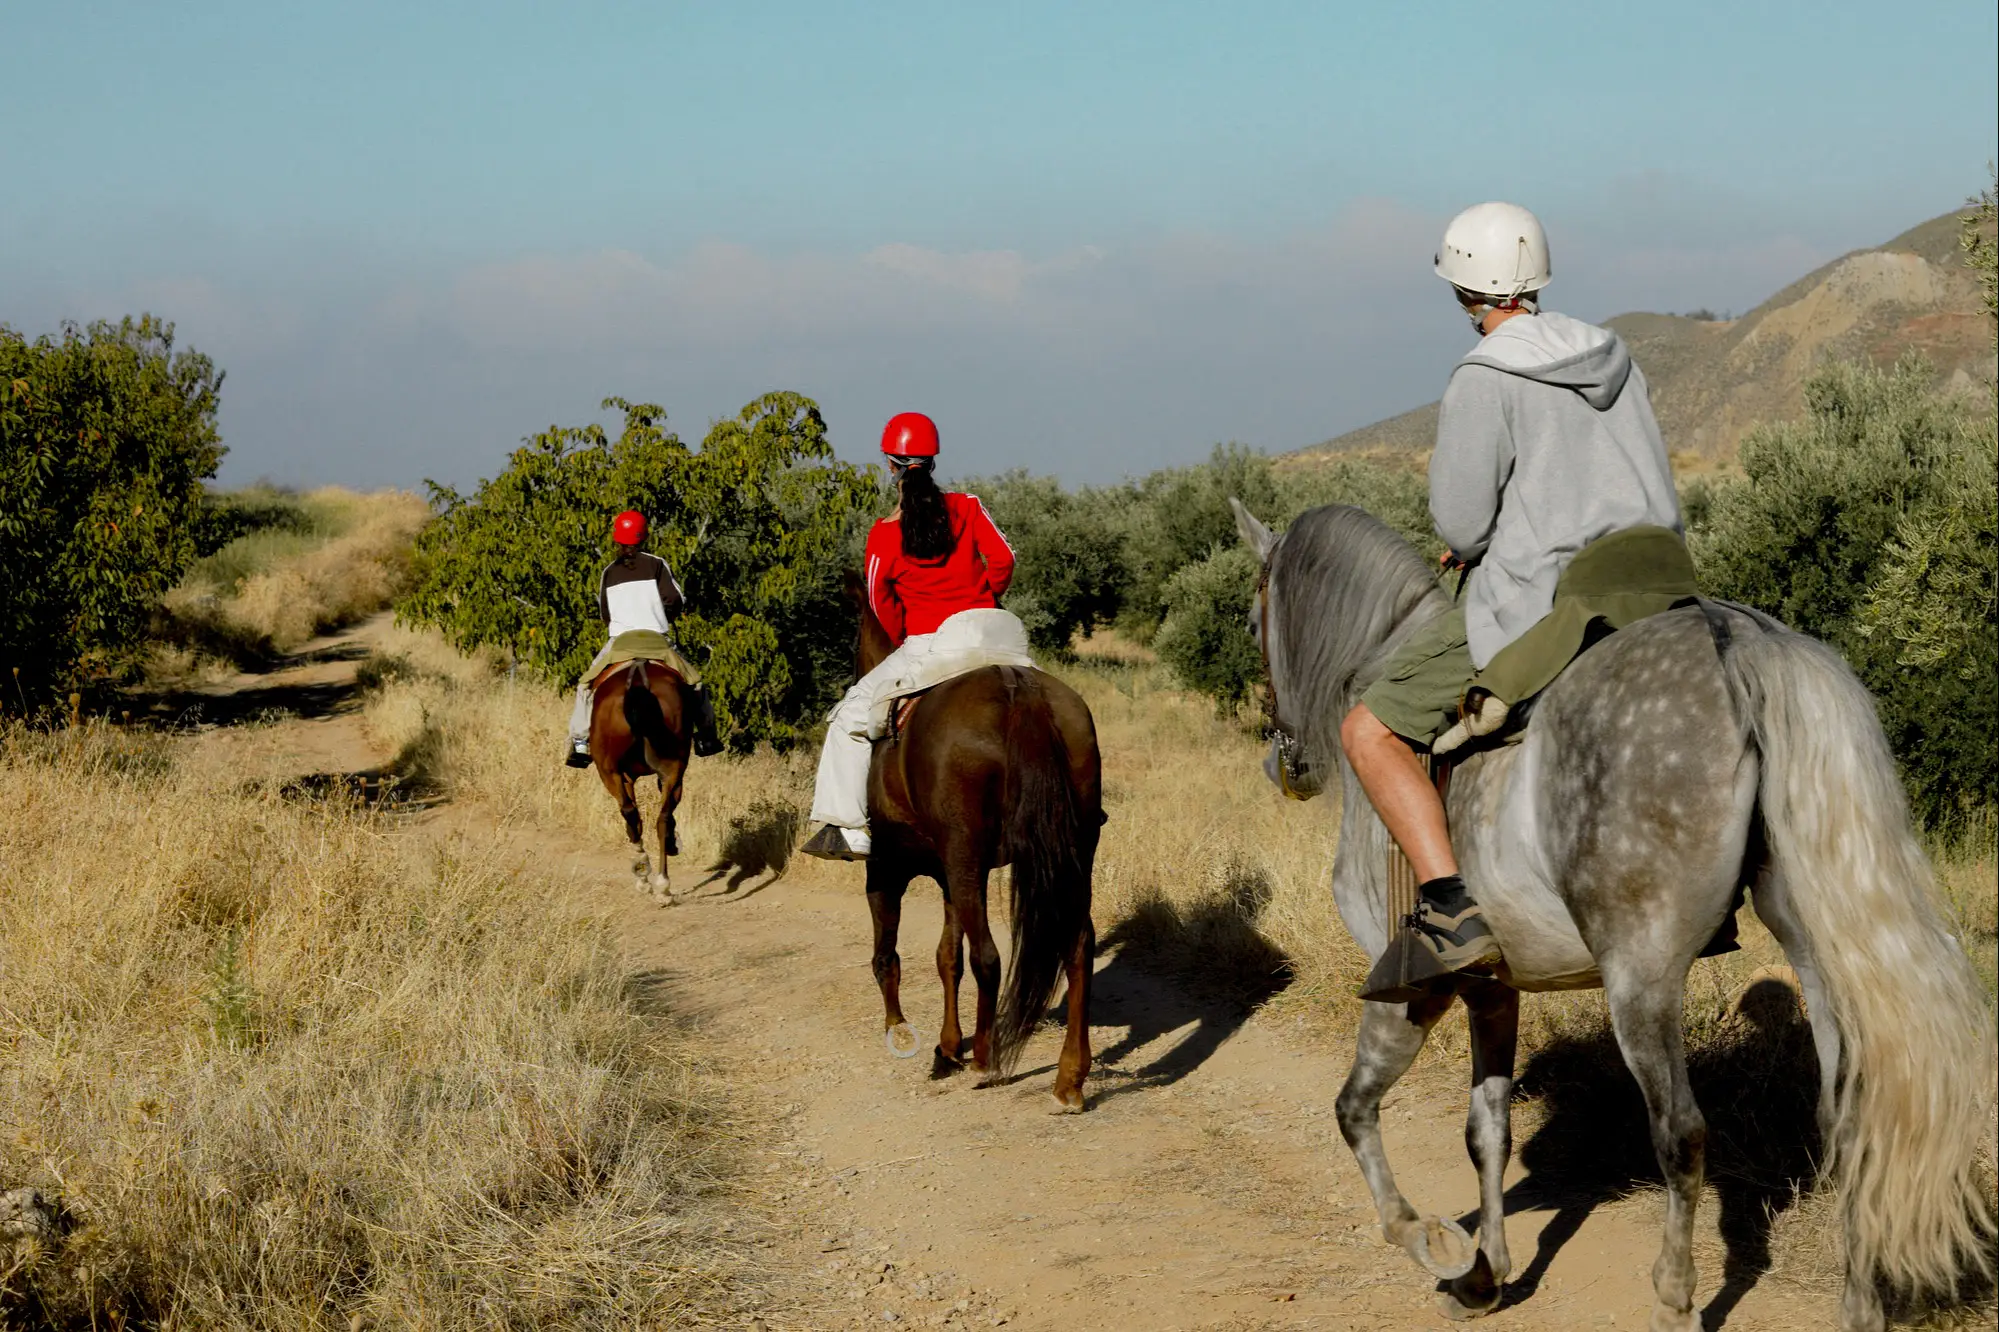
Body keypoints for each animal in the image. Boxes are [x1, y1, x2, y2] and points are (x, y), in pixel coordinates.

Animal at [589, 658, 695, 906]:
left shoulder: (623, 776)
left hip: (609, 771)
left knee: (632, 813)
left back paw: (647, 876)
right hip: (672, 769)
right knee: (660, 817)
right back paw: (662, 885)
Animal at [846, 575, 1103, 1111]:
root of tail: (1016, 687)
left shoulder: (889, 869)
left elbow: (890, 954)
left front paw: (902, 1031)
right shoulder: (950, 875)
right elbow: (948, 956)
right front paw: (946, 1046)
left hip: (963, 857)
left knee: (989, 956)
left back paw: (985, 1059)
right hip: (1072, 851)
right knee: (1078, 947)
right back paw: (1069, 1077)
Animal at [1229, 499, 1994, 1332]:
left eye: (1252, 617)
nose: (1281, 763)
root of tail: (1737, 641)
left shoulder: (1412, 991)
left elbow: (1354, 1110)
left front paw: (1431, 1242)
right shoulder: (1492, 990)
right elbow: (1484, 1131)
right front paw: (1484, 1274)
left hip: (1641, 976)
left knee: (1680, 1133)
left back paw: (1674, 1299)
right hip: (1816, 957)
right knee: (1847, 1118)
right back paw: (1856, 1304)